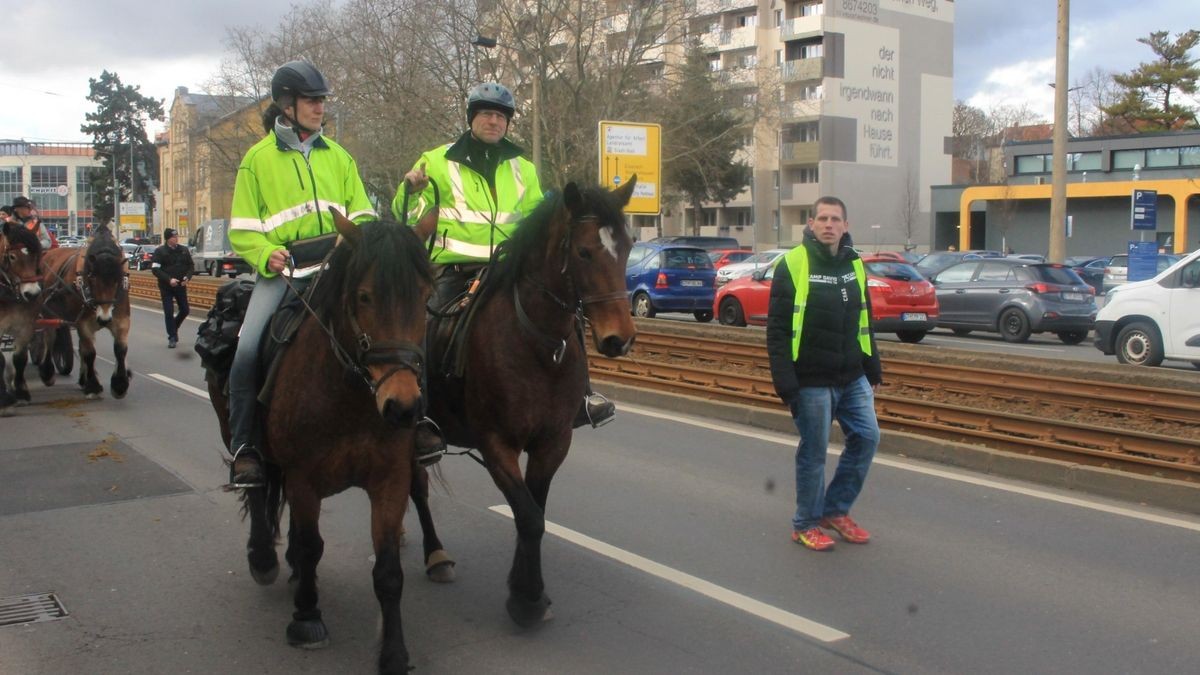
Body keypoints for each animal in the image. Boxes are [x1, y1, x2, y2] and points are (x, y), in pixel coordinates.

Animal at [38, 223, 132, 396]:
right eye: (92, 276)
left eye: (118, 278)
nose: (104, 318)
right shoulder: (83, 323)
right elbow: (90, 353)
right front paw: (93, 384)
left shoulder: (122, 320)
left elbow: (120, 349)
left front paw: (120, 384)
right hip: (48, 314)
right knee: (50, 338)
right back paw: (47, 373)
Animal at [208, 211, 439, 672]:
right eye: (364, 296)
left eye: (425, 296)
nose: (403, 407)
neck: (348, 396)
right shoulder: (304, 478)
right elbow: (312, 545)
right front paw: (307, 617)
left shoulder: (390, 480)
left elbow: (388, 570)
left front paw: (394, 652)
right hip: (244, 440)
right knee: (258, 489)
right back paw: (264, 559)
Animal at [427, 177, 643, 624]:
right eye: (584, 251)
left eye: (629, 246)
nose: (620, 339)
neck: (538, 345)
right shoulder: (497, 446)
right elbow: (527, 516)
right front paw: (525, 598)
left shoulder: (553, 442)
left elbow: (534, 511)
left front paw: (528, 589)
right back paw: (434, 555)